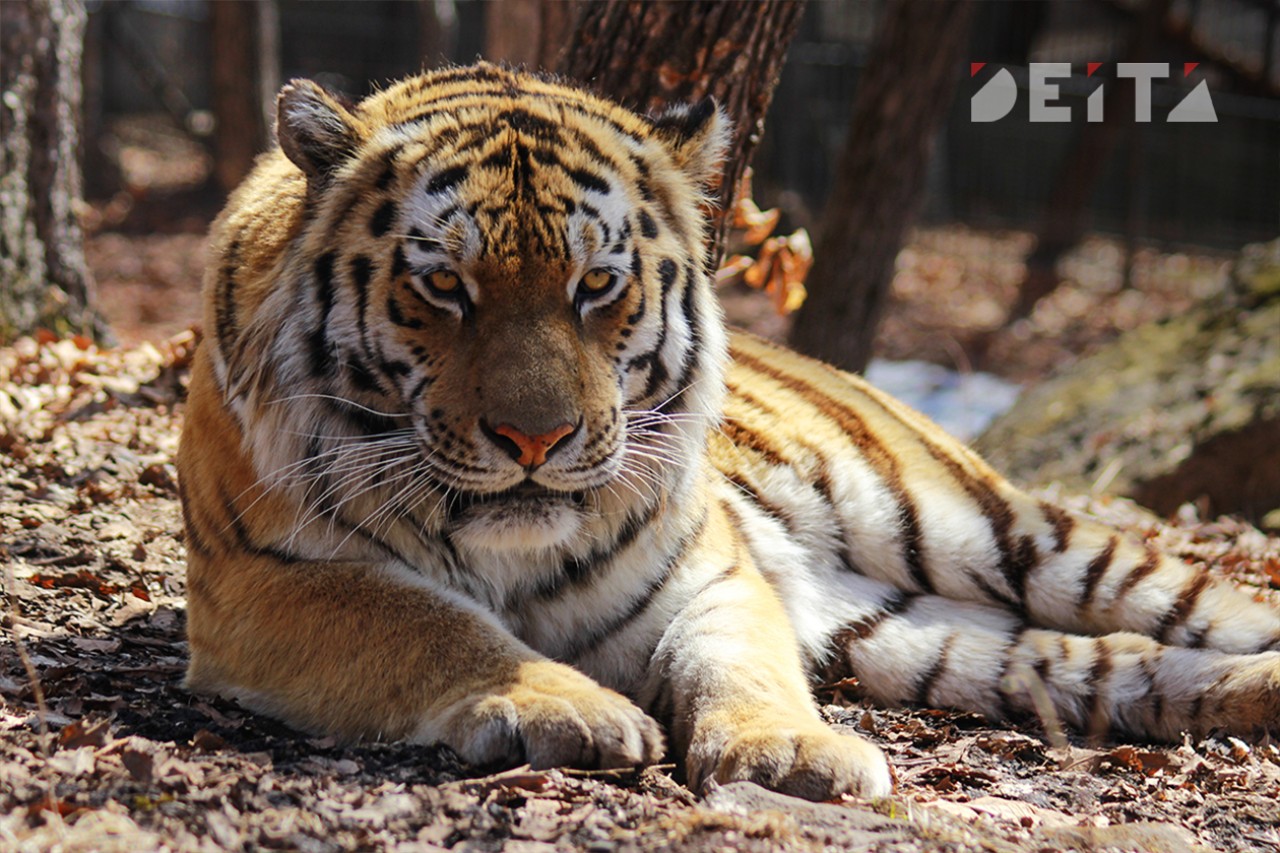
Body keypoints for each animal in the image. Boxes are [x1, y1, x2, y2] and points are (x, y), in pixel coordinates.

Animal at [175, 61, 1274, 799]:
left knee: (1199, 607)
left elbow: (739, 660)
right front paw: (568, 704)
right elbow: (434, 626)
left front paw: (790, 750)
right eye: (444, 284)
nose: (535, 442)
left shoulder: (711, 571)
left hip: (1012, 535)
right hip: (916, 636)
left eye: (596, 285)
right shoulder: (265, 578)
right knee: (1110, 664)